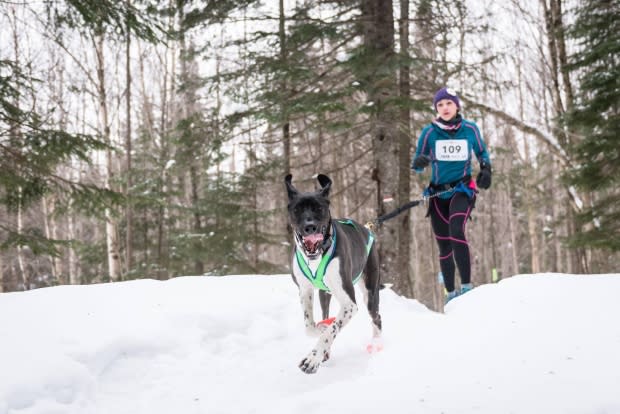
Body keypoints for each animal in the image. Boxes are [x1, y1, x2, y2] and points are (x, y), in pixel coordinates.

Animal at [286, 173, 382, 374]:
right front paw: (321, 331)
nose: (310, 227)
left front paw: (312, 359)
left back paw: (377, 343)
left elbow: (331, 330)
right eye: (297, 209)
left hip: (370, 292)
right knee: (325, 313)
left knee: (376, 317)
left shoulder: (349, 304)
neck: (317, 255)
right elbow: (311, 326)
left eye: (319, 208)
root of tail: (367, 229)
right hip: (325, 294)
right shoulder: (304, 290)